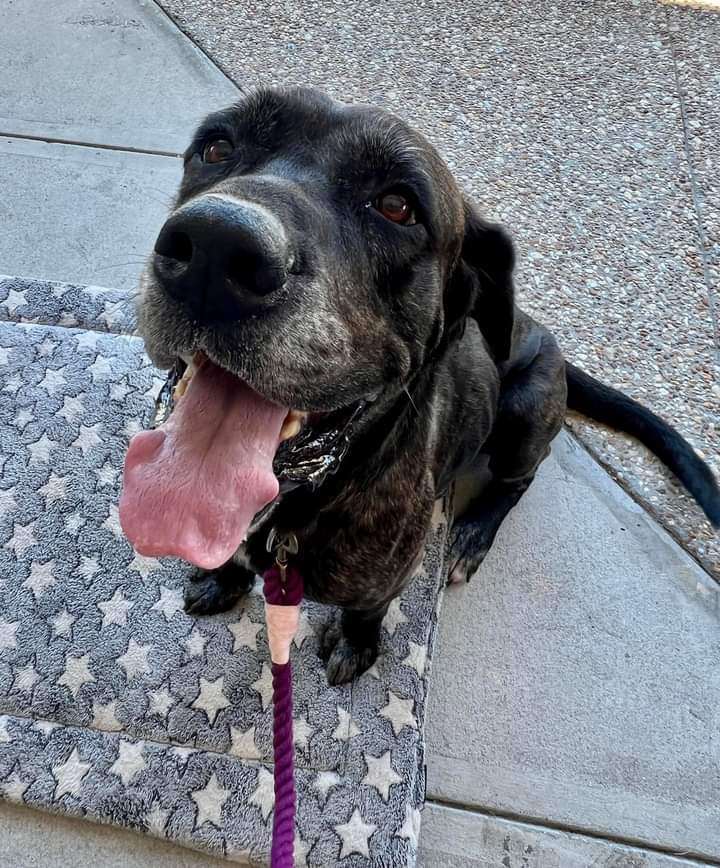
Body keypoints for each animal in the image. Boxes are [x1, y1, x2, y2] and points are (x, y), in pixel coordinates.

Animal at [119, 88, 720, 684]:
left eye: (397, 206)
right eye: (217, 147)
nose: (215, 246)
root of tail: (548, 340)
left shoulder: (387, 577)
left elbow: (367, 612)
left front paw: (356, 644)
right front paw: (223, 580)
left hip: (526, 413)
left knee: (520, 476)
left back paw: (472, 535)